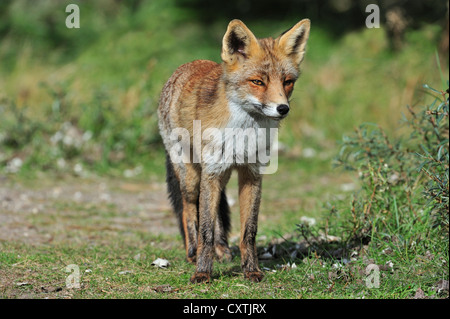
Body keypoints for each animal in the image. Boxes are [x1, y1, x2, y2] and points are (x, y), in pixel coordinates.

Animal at [158, 18, 310, 282]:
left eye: (287, 82)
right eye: (258, 82)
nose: (283, 108)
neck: (244, 134)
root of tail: (185, 66)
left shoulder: (252, 173)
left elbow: (248, 231)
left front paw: (251, 270)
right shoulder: (211, 173)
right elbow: (205, 230)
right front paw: (202, 273)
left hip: (221, 176)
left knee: (217, 214)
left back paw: (221, 250)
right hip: (192, 178)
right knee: (189, 210)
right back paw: (192, 253)